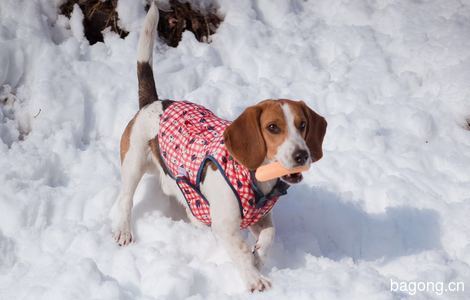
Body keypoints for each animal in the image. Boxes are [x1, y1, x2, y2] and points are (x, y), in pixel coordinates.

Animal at [113, 1, 326, 292]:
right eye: (273, 127)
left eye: (302, 124)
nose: (302, 155)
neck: (253, 176)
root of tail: (155, 102)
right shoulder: (226, 225)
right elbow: (239, 248)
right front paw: (254, 277)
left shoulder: (261, 218)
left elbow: (269, 235)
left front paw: (258, 257)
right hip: (133, 162)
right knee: (125, 199)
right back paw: (124, 230)